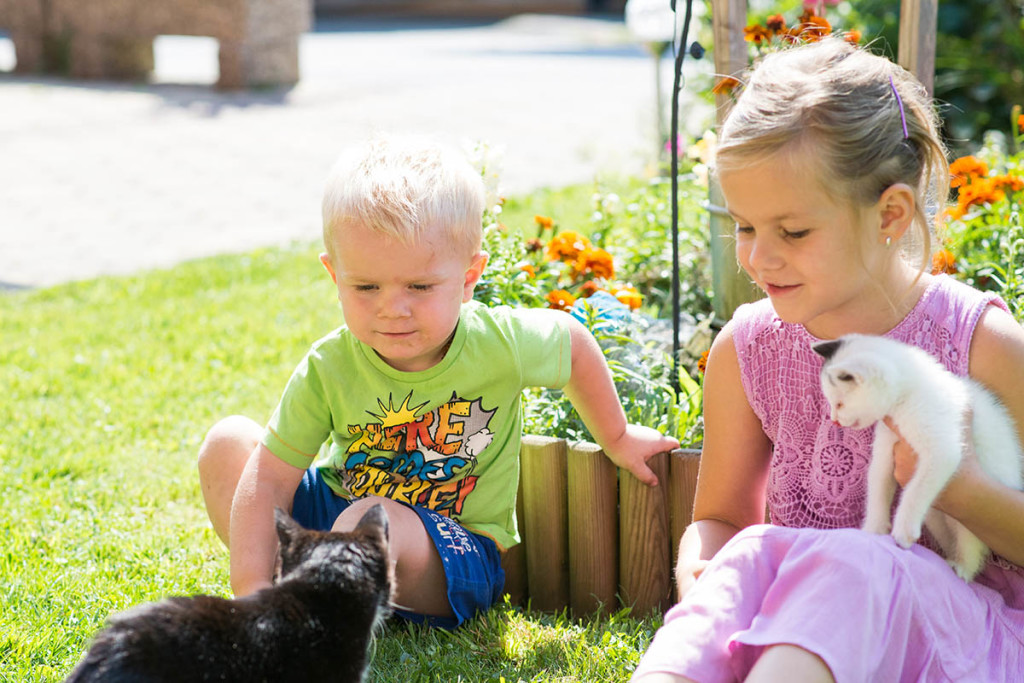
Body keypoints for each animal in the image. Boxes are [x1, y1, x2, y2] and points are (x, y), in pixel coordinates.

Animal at [811, 333, 1019, 581]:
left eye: (840, 404)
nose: (834, 420)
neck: (906, 393)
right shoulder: (886, 447)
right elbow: (878, 484)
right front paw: (874, 528)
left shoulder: (942, 448)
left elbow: (916, 489)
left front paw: (903, 530)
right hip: (936, 517)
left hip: (975, 512)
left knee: (971, 545)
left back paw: (962, 568)